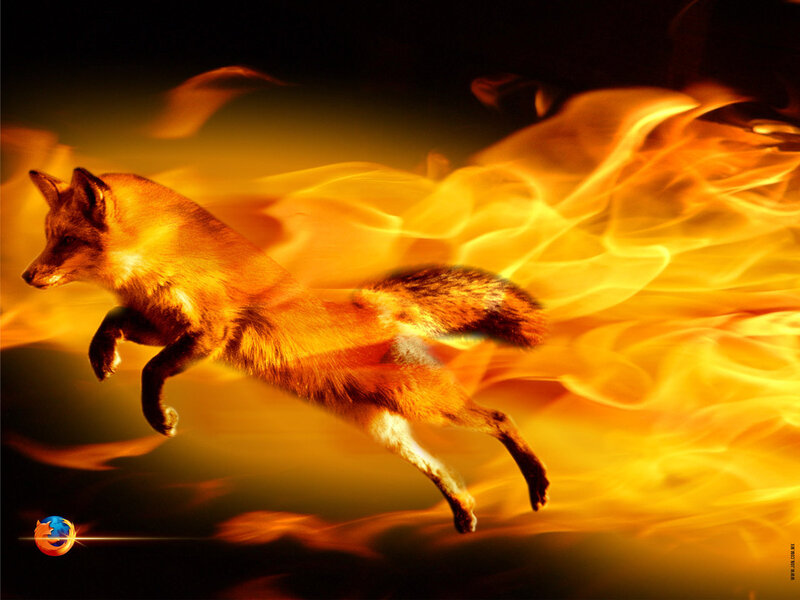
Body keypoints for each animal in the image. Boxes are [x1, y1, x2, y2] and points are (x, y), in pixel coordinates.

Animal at [22, 167, 549, 533]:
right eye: (48, 237)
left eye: (66, 240)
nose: (26, 276)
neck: (161, 257)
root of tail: (374, 303)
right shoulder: (160, 322)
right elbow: (111, 322)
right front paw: (101, 356)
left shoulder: (210, 330)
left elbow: (152, 370)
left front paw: (158, 417)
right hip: (385, 429)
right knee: (441, 470)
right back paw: (463, 511)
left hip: (424, 403)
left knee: (499, 418)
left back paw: (538, 482)